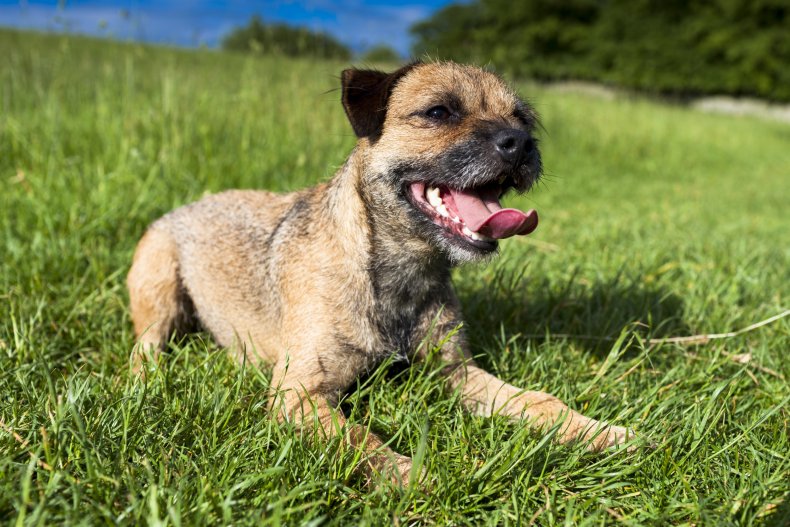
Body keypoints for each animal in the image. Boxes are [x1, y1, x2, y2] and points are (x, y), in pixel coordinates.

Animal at [127, 60, 636, 486]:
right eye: (439, 111)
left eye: (524, 120)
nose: (522, 143)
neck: (400, 273)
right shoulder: (299, 394)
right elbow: (358, 438)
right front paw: (408, 475)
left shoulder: (456, 372)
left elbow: (538, 400)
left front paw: (599, 432)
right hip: (158, 283)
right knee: (145, 344)